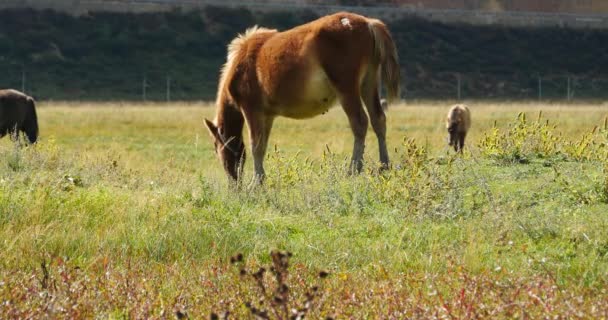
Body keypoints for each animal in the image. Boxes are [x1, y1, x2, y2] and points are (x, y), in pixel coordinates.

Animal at [204, 12, 402, 184]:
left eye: (216, 147)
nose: (234, 185)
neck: (240, 65)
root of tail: (369, 24)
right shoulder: (267, 116)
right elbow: (263, 145)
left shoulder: (252, 110)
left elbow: (256, 146)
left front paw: (256, 183)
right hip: (369, 82)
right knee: (378, 119)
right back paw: (384, 166)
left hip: (347, 88)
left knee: (360, 122)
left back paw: (353, 170)